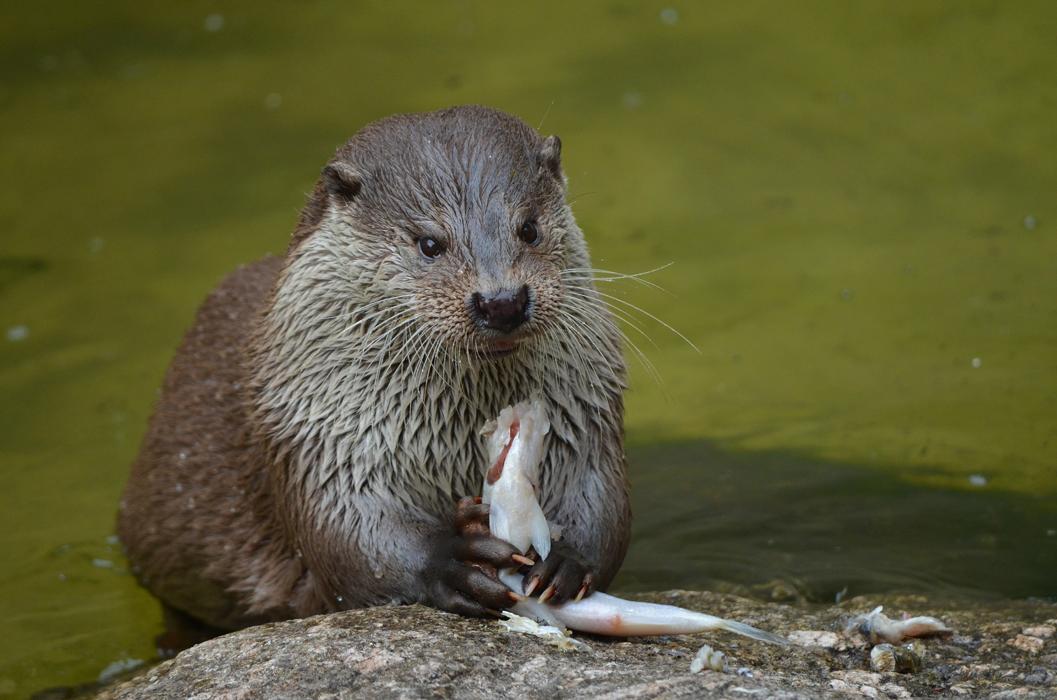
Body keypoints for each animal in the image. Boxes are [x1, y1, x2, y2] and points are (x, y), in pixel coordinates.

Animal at [117, 105, 625, 634]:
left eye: (528, 228)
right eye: (429, 243)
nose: (501, 301)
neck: (454, 433)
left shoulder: (584, 411)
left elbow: (600, 497)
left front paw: (569, 560)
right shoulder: (316, 433)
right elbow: (351, 537)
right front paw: (450, 558)